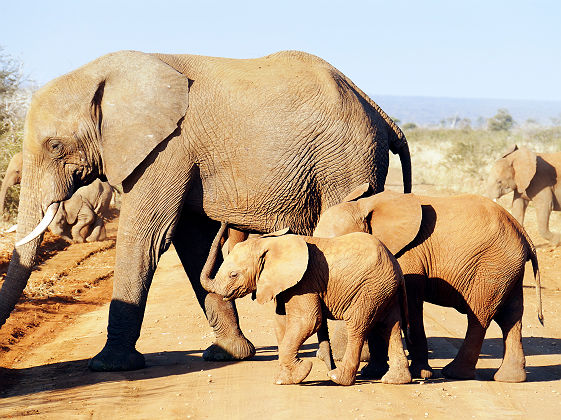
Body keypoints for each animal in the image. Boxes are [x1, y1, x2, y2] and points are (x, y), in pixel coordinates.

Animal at [0, 50, 412, 370]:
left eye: (55, 146)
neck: (105, 75)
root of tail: (380, 112)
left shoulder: (168, 147)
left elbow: (148, 235)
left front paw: (108, 365)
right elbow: (193, 241)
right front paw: (227, 355)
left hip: (347, 161)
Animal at [199, 223, 410, 388]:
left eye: (233, 275)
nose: (225, 223)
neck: (270, 243)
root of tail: (397, 268)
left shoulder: (305, 282)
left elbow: (308, 321)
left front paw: (296, 374)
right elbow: (281, 322)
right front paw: (285, 377)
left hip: (370, 288)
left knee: (358, 326)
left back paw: (338, 378)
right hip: (384, 290)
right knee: (390, 327)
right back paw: (395, 380)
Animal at [310, 185, 544, 382]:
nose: (329, 368)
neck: (364, 206)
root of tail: (524, 234)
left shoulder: (409, 256)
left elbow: (412, 307)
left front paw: (420, 373)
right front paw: (373, 372)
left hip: (492, 266)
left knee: (480, 316)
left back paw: (455, 373)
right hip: (507, 270)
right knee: (511, 317)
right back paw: (510, 378)